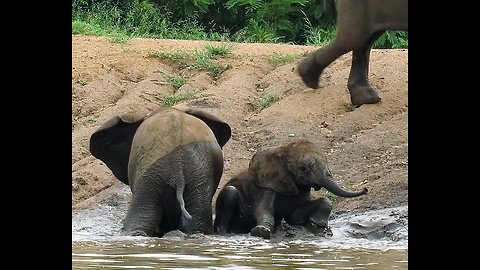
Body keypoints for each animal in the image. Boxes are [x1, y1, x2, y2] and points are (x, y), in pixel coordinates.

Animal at [214, 139, 368, 238]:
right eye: (303, 168)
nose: (365, 189)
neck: (282, 149)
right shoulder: (267, 185)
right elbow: (263, 211)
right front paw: (261, 231)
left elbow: (295, 214)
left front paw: (320, 224)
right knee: (231, 192)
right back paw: (224, 234)